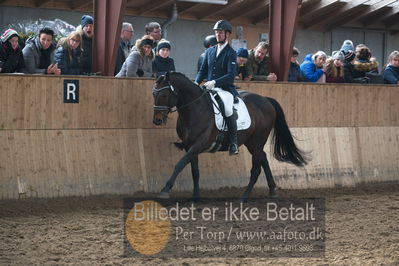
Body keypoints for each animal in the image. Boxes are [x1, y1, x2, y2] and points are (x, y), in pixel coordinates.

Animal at [153, 71, 310, 201]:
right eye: (154, 94)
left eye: (165, 95)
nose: (157, 121)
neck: (194, 109)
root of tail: (265, 100)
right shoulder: (189, 146)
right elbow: (194, 171)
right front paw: (195, 196)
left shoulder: (199, 144)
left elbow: (179, 164)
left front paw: (165, 190)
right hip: (251, 142)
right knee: (263, 158)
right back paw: (272, 191)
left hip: (258, 140)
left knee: (256, 168)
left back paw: (244, 197)